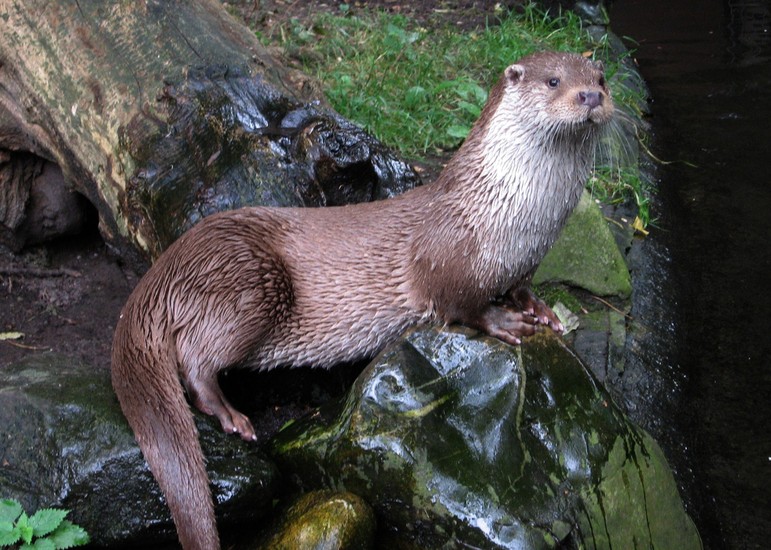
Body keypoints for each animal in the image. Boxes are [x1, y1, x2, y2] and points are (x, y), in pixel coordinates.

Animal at [112, 51, 613, 550]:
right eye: (554, 81)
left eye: (602, 77)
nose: (591, 96)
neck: (514, 219)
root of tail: (164, 270)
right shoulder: (445, 254)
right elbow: (459, 302)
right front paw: (505, 320)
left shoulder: (528, 259)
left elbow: (522, 286)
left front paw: (540, 309)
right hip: (248, 279)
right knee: (195, 361)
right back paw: (229, 413)